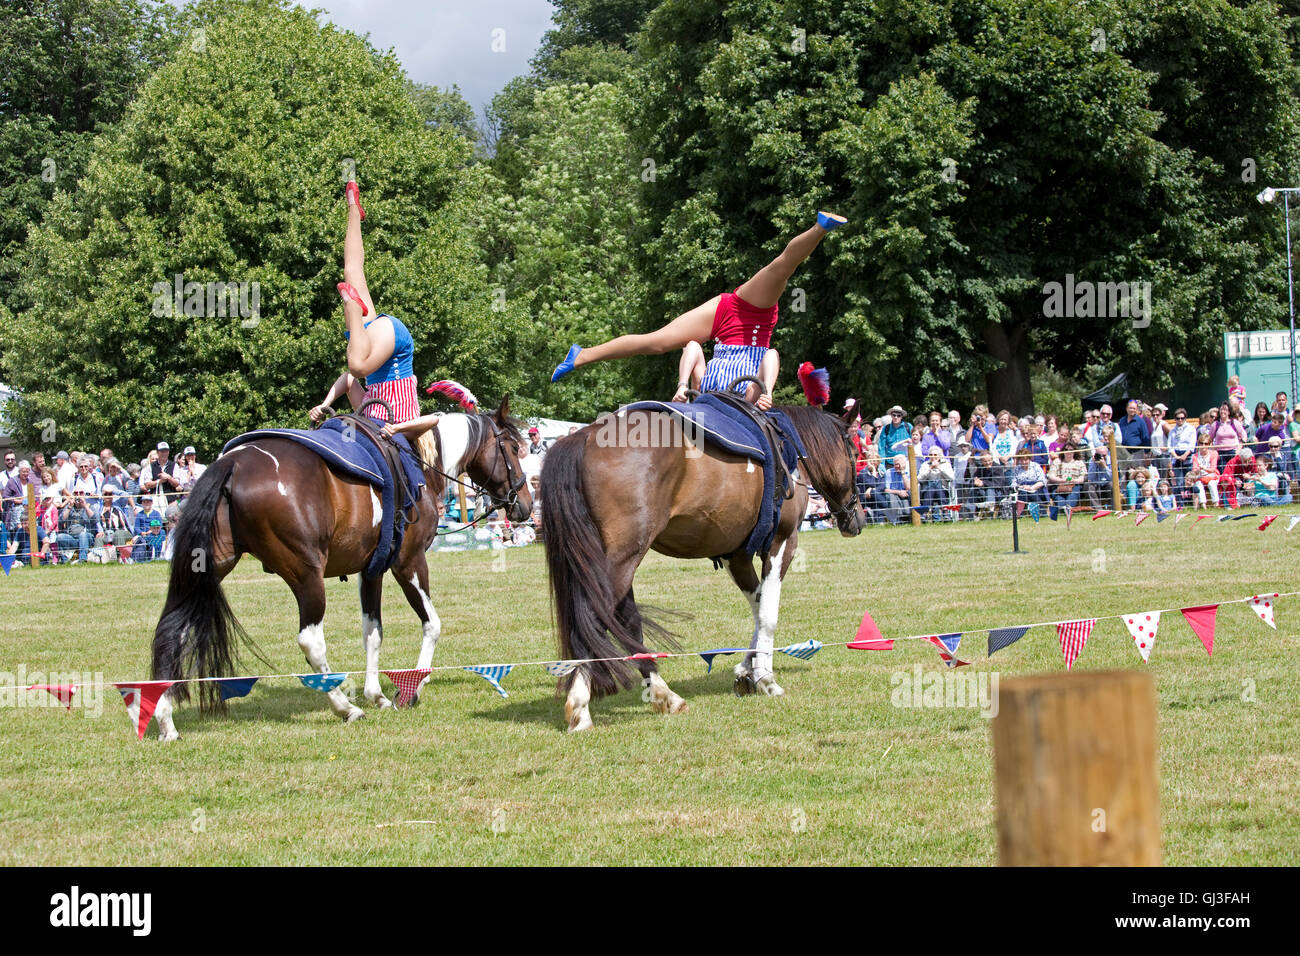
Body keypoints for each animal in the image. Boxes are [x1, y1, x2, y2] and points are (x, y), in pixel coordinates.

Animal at [153, 395, 533, 738]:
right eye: (515, 448)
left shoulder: (371, 569)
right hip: (306, 575)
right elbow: (432, 624)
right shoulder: (409, 562)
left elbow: (372, 631)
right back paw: (344, 707)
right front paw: (410, 690)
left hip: (207, 568)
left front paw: (377, 695)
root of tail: (232, 464)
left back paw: (165, 719)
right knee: (311, 642)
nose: (525, 504)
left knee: (175, 630)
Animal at [538, 403, 863, 733]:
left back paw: (664, 695)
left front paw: (746, 669)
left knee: (626, 622)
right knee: (592, 622)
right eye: (853, 450)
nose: (856, 518)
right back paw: (581, 707)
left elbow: (758, 608)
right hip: (619, 561)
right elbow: (768, 614)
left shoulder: (736, 555)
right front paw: (765, 678)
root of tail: (585, 437)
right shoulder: (782, 543)